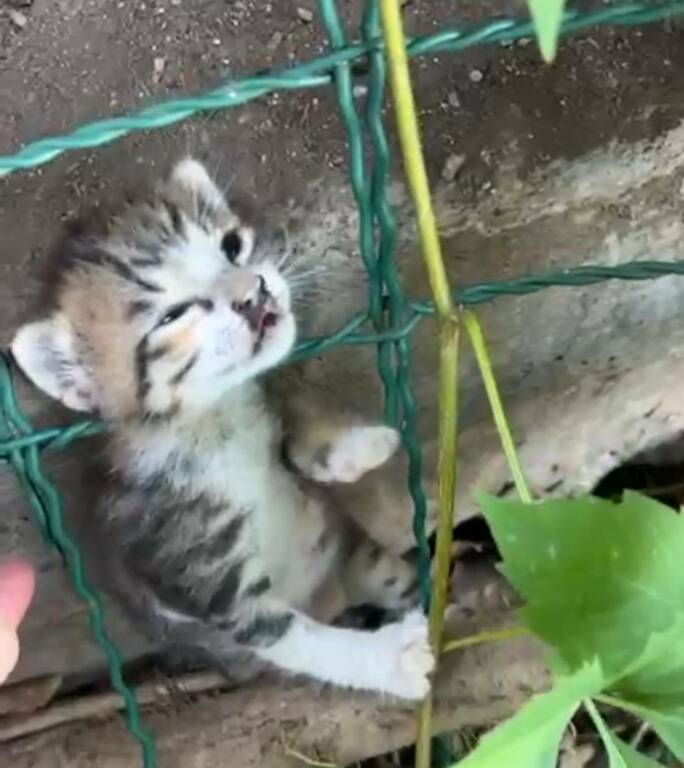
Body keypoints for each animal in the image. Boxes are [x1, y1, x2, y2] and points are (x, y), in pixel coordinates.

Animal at [12, 159, 432, 700]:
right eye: (171, 316)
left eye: (231, 245)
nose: (253, 293)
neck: (217, 423)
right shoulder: (202, 578)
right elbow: (294, 638)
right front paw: (391, 661)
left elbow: (287, 402)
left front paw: (352, 447)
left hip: (360, 556)